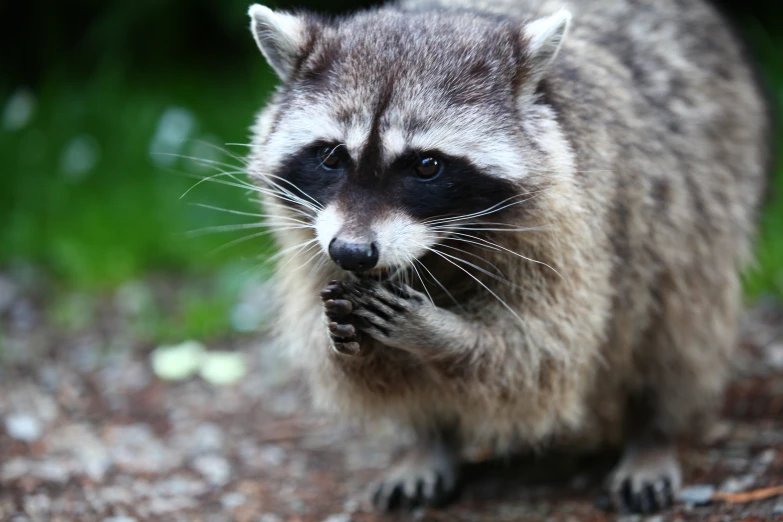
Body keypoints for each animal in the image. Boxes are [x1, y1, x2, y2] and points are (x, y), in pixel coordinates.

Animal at [247, 0, 772, 512]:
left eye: (427, 165)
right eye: (331, 156)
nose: (353, 253)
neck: (438, 247)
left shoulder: (574, 223)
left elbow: (544, 352)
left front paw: (442, 335)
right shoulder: (311, 236)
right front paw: (350, 348)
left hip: (701, 202)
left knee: (678, 327)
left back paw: (654, 433)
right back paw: (428, 442)